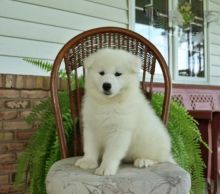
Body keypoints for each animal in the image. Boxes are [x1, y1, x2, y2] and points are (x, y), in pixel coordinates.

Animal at [75, 48, 174, 176]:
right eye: (101, 73)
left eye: (118, 74)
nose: (106, 85)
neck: (108, 103)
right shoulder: (91, 127)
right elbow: (89, 147)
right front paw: (88, 161)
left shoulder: (119, 130)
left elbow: (111, 153)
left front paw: (105, 168)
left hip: (151, 142)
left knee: (160, 159)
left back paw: (144, 160)